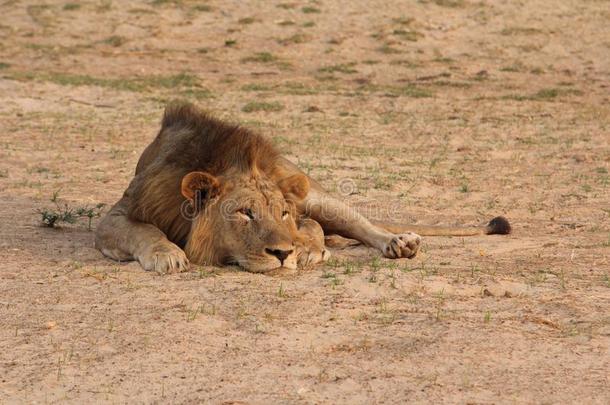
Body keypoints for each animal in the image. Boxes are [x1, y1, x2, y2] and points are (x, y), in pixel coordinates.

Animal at [96, 101, 508, 274]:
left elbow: (310, 227)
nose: (281, 254)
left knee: (349, 225)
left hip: (315, 194)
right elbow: (145, 231)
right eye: (245, 213)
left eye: (279, 212)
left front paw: (305, 250)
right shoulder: (117, 215)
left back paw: (396, 243)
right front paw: (167, 254)